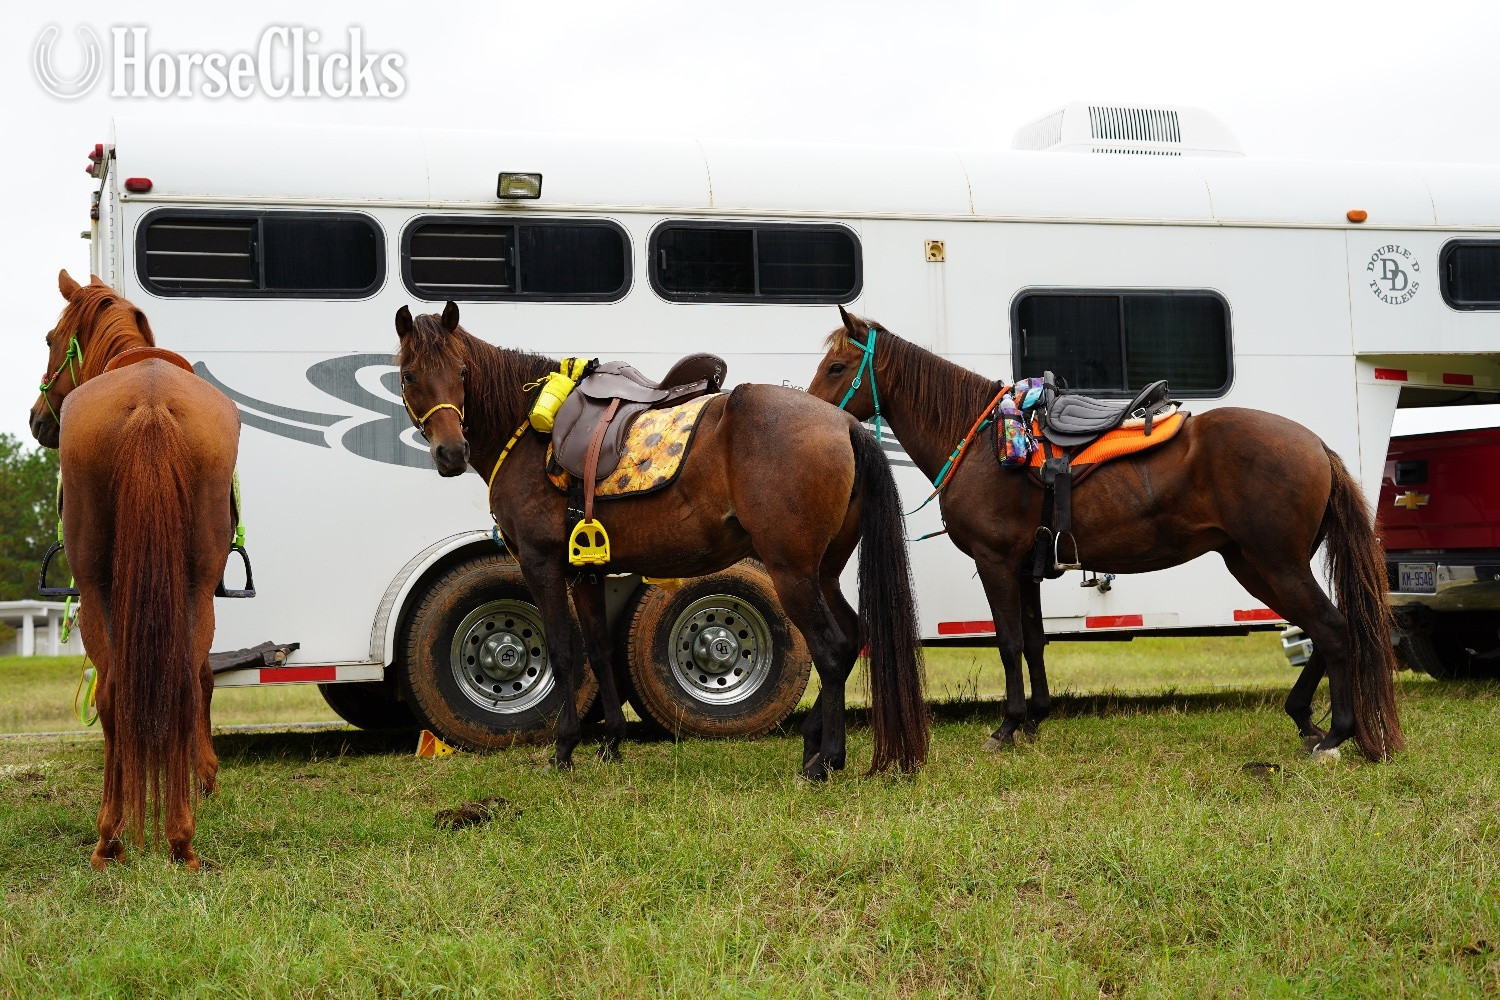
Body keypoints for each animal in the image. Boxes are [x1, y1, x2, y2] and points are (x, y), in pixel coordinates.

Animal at [30, 270, 241, 868]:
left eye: (50, 338)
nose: (36, 421)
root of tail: (149, 403)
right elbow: (203, 679)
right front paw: (203, 777)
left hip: (98, 590)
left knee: (112, 692)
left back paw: (111, 834)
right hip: (195, 589)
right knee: (186, 683)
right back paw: (181, 837)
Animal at [392, 302, 928, 779]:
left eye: (462, 371)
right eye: (410, 375)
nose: (451, 452)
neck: (529, 431)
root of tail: (843, 424)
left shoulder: (541, 564)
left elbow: (563, 652)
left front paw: (564, 749)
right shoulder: (587, 572)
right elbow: (598, 652)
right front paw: (610, 742)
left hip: (791, 572)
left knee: (831, 649)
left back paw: (826, 761)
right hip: (823, 572)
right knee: (852, 636)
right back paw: (813, 744)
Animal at [806, 308, 1403, 762]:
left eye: (837, 366)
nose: (810, 414)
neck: (981, 443)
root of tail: (1316, 446)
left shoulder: (995, 562)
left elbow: (1009, 643)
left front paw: (1007, 727)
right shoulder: (1026, 568)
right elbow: (1034, 642)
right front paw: (1034, 720)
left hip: (1274, 563)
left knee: (1331, 629)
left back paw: (1335, 734)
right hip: (1256, 564)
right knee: (1327, 629)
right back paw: (1306, 719)